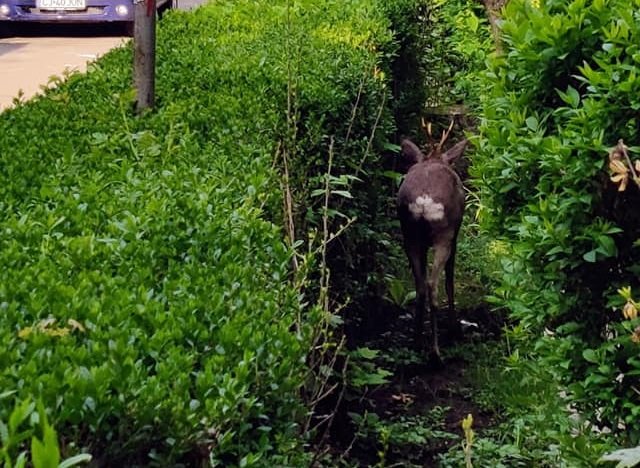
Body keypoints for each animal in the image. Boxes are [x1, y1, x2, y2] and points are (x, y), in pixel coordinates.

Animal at [398, 125, 468, 366]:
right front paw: (455, 328)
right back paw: (436, 353)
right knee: (433, 284)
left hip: (409, 234)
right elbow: (450, 281)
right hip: (443, 235)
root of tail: (424, 201)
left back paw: (417, 342)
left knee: (420, 285)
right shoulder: (454, 236)